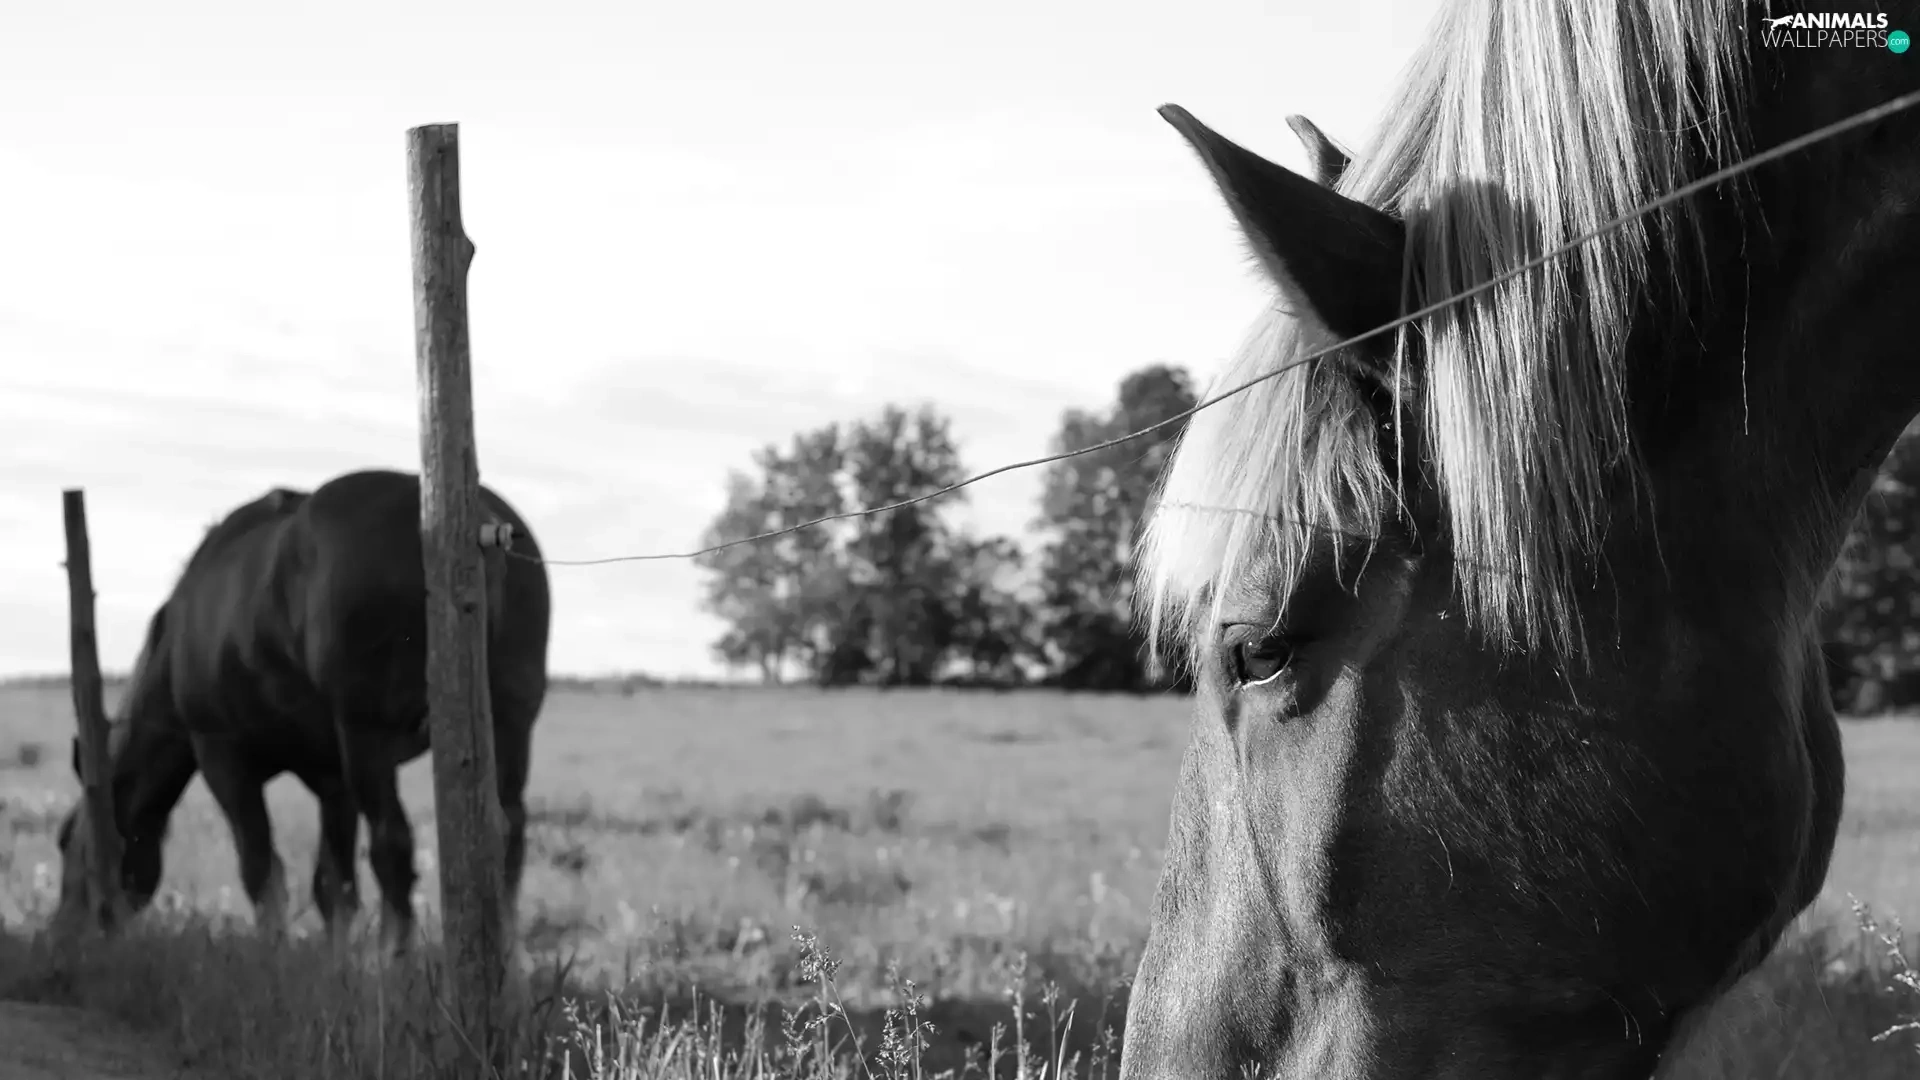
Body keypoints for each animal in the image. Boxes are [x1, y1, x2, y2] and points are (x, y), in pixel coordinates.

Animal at [53, 469, 552, 956]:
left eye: (65, 842)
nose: (61, 934)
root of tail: (477, 523)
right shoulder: (334, 781)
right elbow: (333, 886)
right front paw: (337, 967)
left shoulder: (222, 758)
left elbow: (260, 868)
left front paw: (275, 956)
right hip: (508, 726)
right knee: (506, 829)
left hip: (367, 736)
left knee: (392, 842)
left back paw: (395, 962)